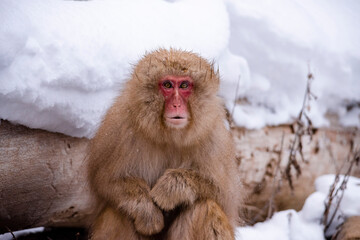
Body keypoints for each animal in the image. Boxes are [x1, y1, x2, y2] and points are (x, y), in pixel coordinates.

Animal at [88, 47, 242, 239]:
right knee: (117, 213)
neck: (169, 136)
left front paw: (171, 188)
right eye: (167, 85)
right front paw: (147, 212)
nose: (176, 105)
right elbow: (106, 181)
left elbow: (224, 196)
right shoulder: (120, 129)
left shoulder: (214, 139)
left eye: (184, 86)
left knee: (205, 206)